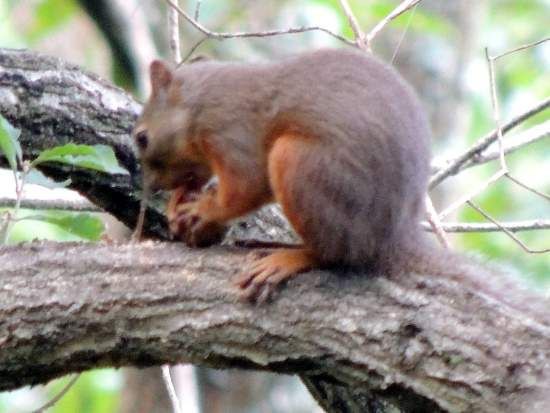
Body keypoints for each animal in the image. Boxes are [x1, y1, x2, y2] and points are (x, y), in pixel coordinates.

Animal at [135, 48, 436, 300]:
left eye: (141, 138)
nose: (153, 185)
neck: (199, 105)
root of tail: (393, 238)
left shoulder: (231, 134)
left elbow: (246, 186)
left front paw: (203, 210)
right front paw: (178, 202)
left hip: (301, 164)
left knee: (335, 255)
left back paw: (288, 258)